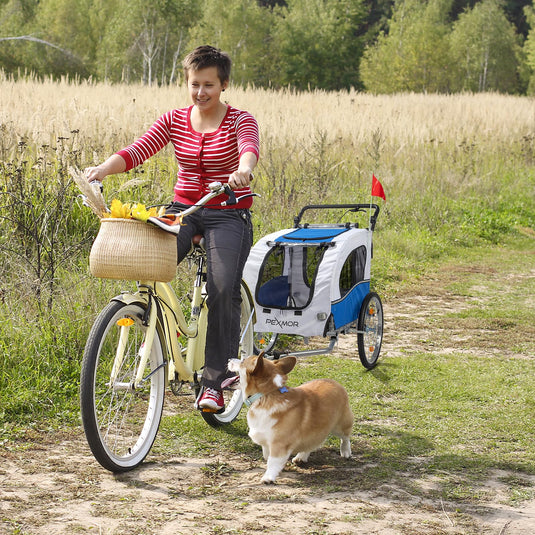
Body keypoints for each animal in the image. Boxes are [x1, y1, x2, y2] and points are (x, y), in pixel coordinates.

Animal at [228, 354, 354, 484]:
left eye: (243, 360)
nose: (229, 359)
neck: (265, 395)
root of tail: (335, 383)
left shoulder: (279, 444)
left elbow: (272, 461)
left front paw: (268, 477)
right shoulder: (267, 442)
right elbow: (267, 457)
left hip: (340, 425)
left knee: (345, 438)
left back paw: (346, 451)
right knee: (311, 443)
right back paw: (301, 457)